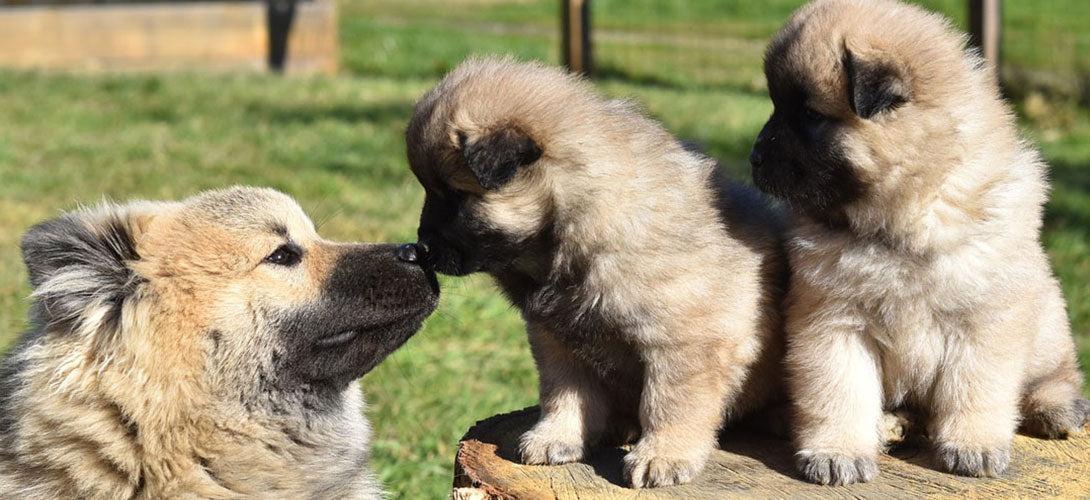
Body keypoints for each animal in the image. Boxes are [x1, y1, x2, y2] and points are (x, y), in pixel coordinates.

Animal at [405, 56, 789, 488]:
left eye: (454, 196)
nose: (420, 248)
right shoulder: (557, 339)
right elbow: (565, 393)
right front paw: (557, 437)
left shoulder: (685, 344)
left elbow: (669, 404)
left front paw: (662, 455)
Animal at [749, 0, 1090, 488]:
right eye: (777, 106)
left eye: (810, 114)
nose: (754, 158)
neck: (903, 218)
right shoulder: (832, 321)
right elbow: (839, 391)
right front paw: (837, 451)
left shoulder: (984, 322)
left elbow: (976, 389)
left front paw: (973, 445)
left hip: (1044, 315)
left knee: (1056, 372)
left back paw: (1055, 406)